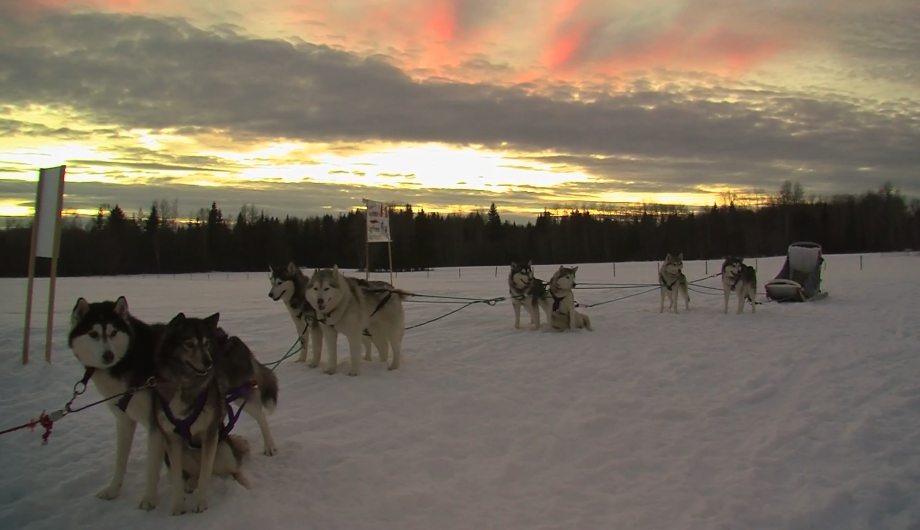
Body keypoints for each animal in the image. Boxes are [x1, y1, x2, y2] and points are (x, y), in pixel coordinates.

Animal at [154, 312, 280, 512]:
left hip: (238, 398)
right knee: (194, 474)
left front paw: (201, 503)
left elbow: (206, 474)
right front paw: (178, 505)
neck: (186, 385)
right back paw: (191, 483)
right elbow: (177, 477)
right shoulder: (172, 440)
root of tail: (232, 339)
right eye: (189, 344)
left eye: (206, 343)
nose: (209, 362)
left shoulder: (210, 434)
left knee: (257, 420)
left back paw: (265, 451)